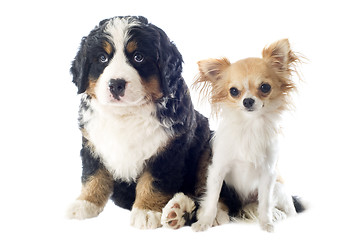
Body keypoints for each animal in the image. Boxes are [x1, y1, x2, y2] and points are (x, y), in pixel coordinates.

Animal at [67, 15, 242, 230]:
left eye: (138, 57)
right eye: (102, 58)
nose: (116, 84)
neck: (126, 114)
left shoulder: (167, 149)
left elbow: (154, 182)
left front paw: (146, 211)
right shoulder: (93, 143)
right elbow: (93, 175)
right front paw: (85, 203)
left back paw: (209, 212)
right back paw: (178, 210)